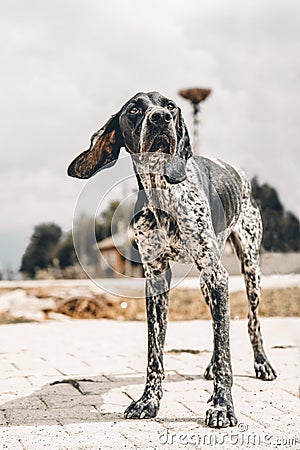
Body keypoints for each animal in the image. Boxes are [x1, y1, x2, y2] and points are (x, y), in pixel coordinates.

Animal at [68, 91, 276, 428]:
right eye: (134, 110)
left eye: (170, 106)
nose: (160, 119)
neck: (163, 191)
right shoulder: (155, 278)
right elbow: (155, 351)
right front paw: (148, 401)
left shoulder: (217, 274)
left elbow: (226, 346)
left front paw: (222, 406)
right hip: (207, 283)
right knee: (218, 324)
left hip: (249, 269)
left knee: (251, 321)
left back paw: (262, 364)